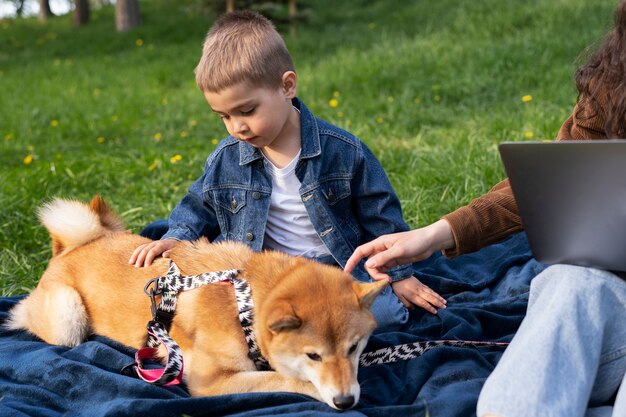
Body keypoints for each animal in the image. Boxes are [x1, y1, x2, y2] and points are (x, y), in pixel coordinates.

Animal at [6, 196, 386, 410]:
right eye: (313, 356)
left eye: (353, 348)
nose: (345, 400)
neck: (243, 306)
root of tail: (69, 248)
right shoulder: (210, 382)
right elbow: (284, 380)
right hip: (68, 319)